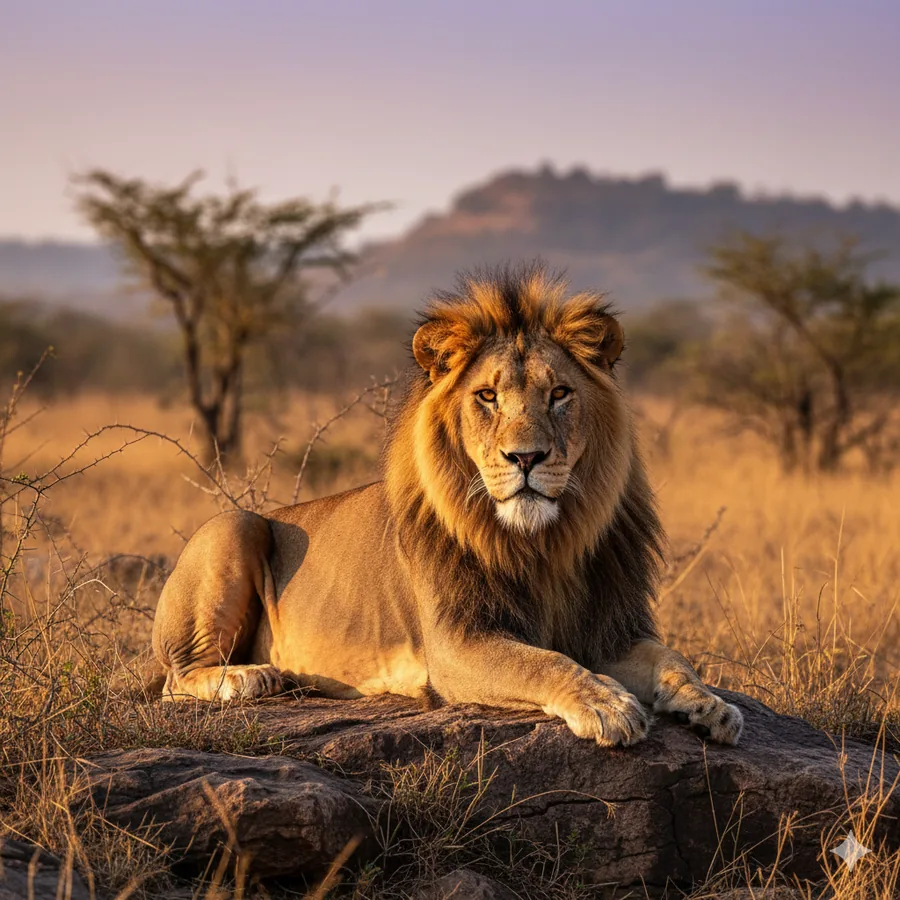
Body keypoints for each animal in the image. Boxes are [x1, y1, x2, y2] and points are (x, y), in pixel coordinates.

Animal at [151, 265, 743, 747]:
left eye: (559, 394)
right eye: (487, 396)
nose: (526, 457)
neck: (545, 543)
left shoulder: (609, 627)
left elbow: (673, 659)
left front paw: (712, 706)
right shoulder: (458, 642)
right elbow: (544, 662)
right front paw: (608, 705)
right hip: (234, 524)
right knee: (173, 682)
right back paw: (250, 677)